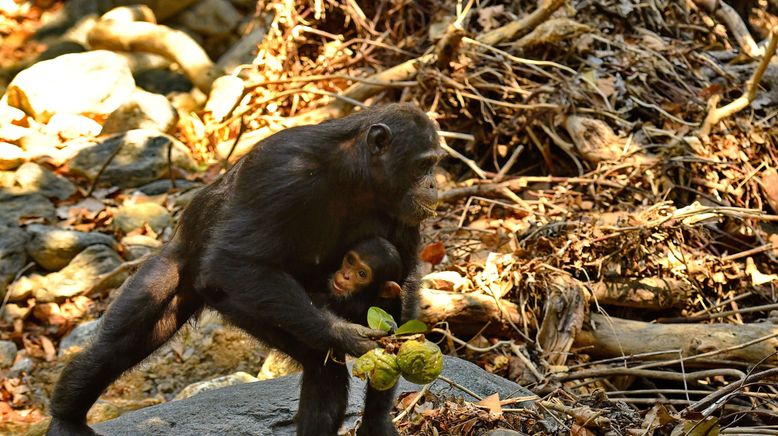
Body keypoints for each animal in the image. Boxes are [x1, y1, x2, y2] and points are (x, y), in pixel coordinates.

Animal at [45, 103, 440, 436]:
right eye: (424, 165)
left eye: (435, 163)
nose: (435, 183)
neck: (358, 174)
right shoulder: (280, 171)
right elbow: (232, 260)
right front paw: (344, 333)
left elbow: (403, 281)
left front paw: (377, 420)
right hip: (206, 280)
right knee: (120, 342)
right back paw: (66, 418)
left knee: (321, 368)